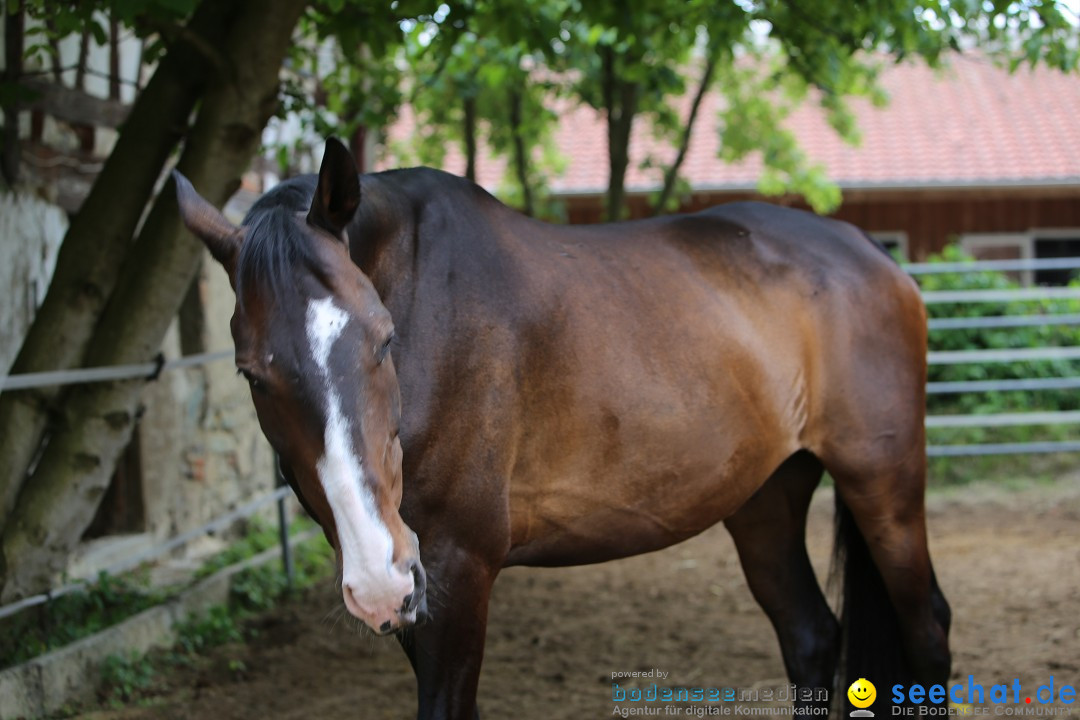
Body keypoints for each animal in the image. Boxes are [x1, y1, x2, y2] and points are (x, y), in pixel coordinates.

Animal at [177, 140, 954, 720]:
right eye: (251, 374)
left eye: (384, 338)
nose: (375, 573)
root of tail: (873, 254)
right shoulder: (417, 599)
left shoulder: (457, 573)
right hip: (765, 499)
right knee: (811, 636)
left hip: (883, 486)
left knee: (928, 630)